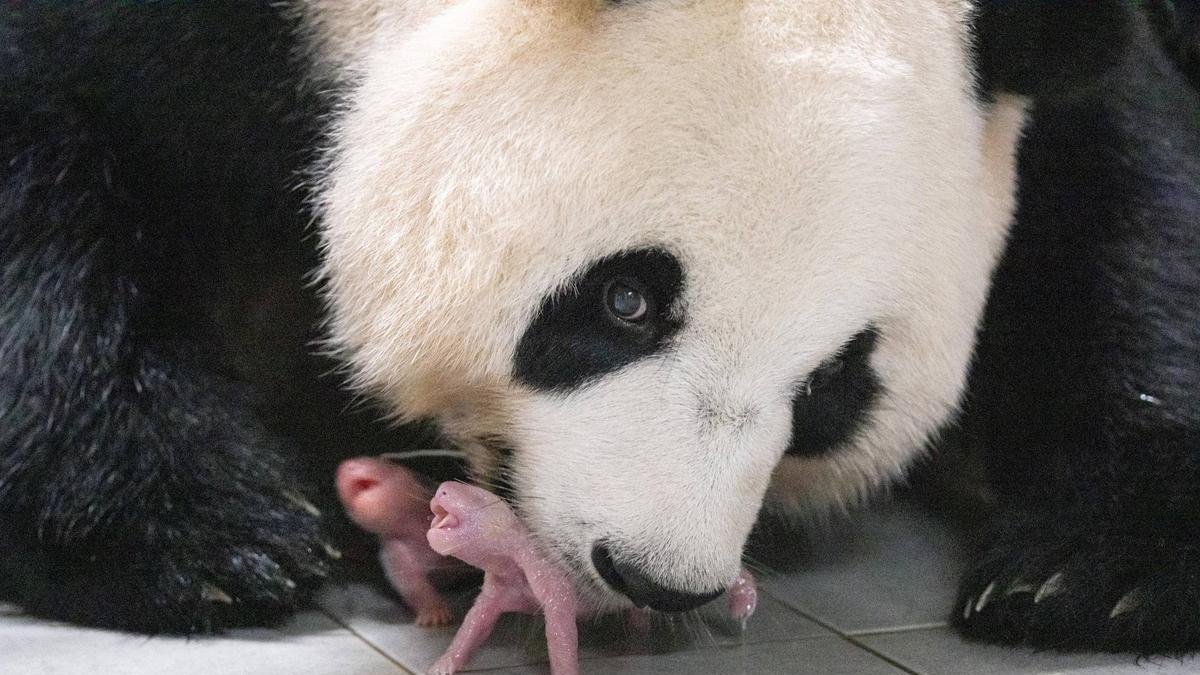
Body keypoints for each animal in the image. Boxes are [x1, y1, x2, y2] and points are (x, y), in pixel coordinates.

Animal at [1, 0, 1197, 657]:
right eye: (626, 300)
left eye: (834, 386)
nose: (657, 576)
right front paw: (201, 535)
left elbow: (1126, 202)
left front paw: (1094, 569)